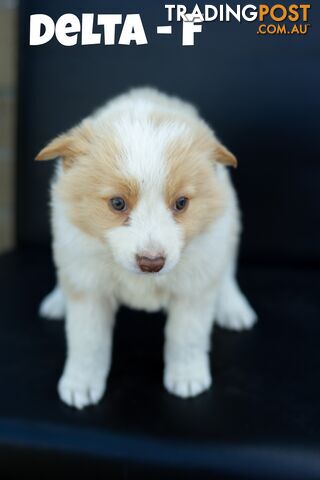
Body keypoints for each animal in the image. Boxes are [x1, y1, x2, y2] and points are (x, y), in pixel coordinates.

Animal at [37, 87, 258, 408]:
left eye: (181, 203)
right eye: (117, 203)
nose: (151, 263)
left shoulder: (195, 283)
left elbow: (187, 337)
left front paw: (188, 378)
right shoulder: (89, 284)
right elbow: (87, 342)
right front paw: (81, 384)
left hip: (228, 226)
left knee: (226, 270)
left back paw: (233, 307)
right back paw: (57, 301)